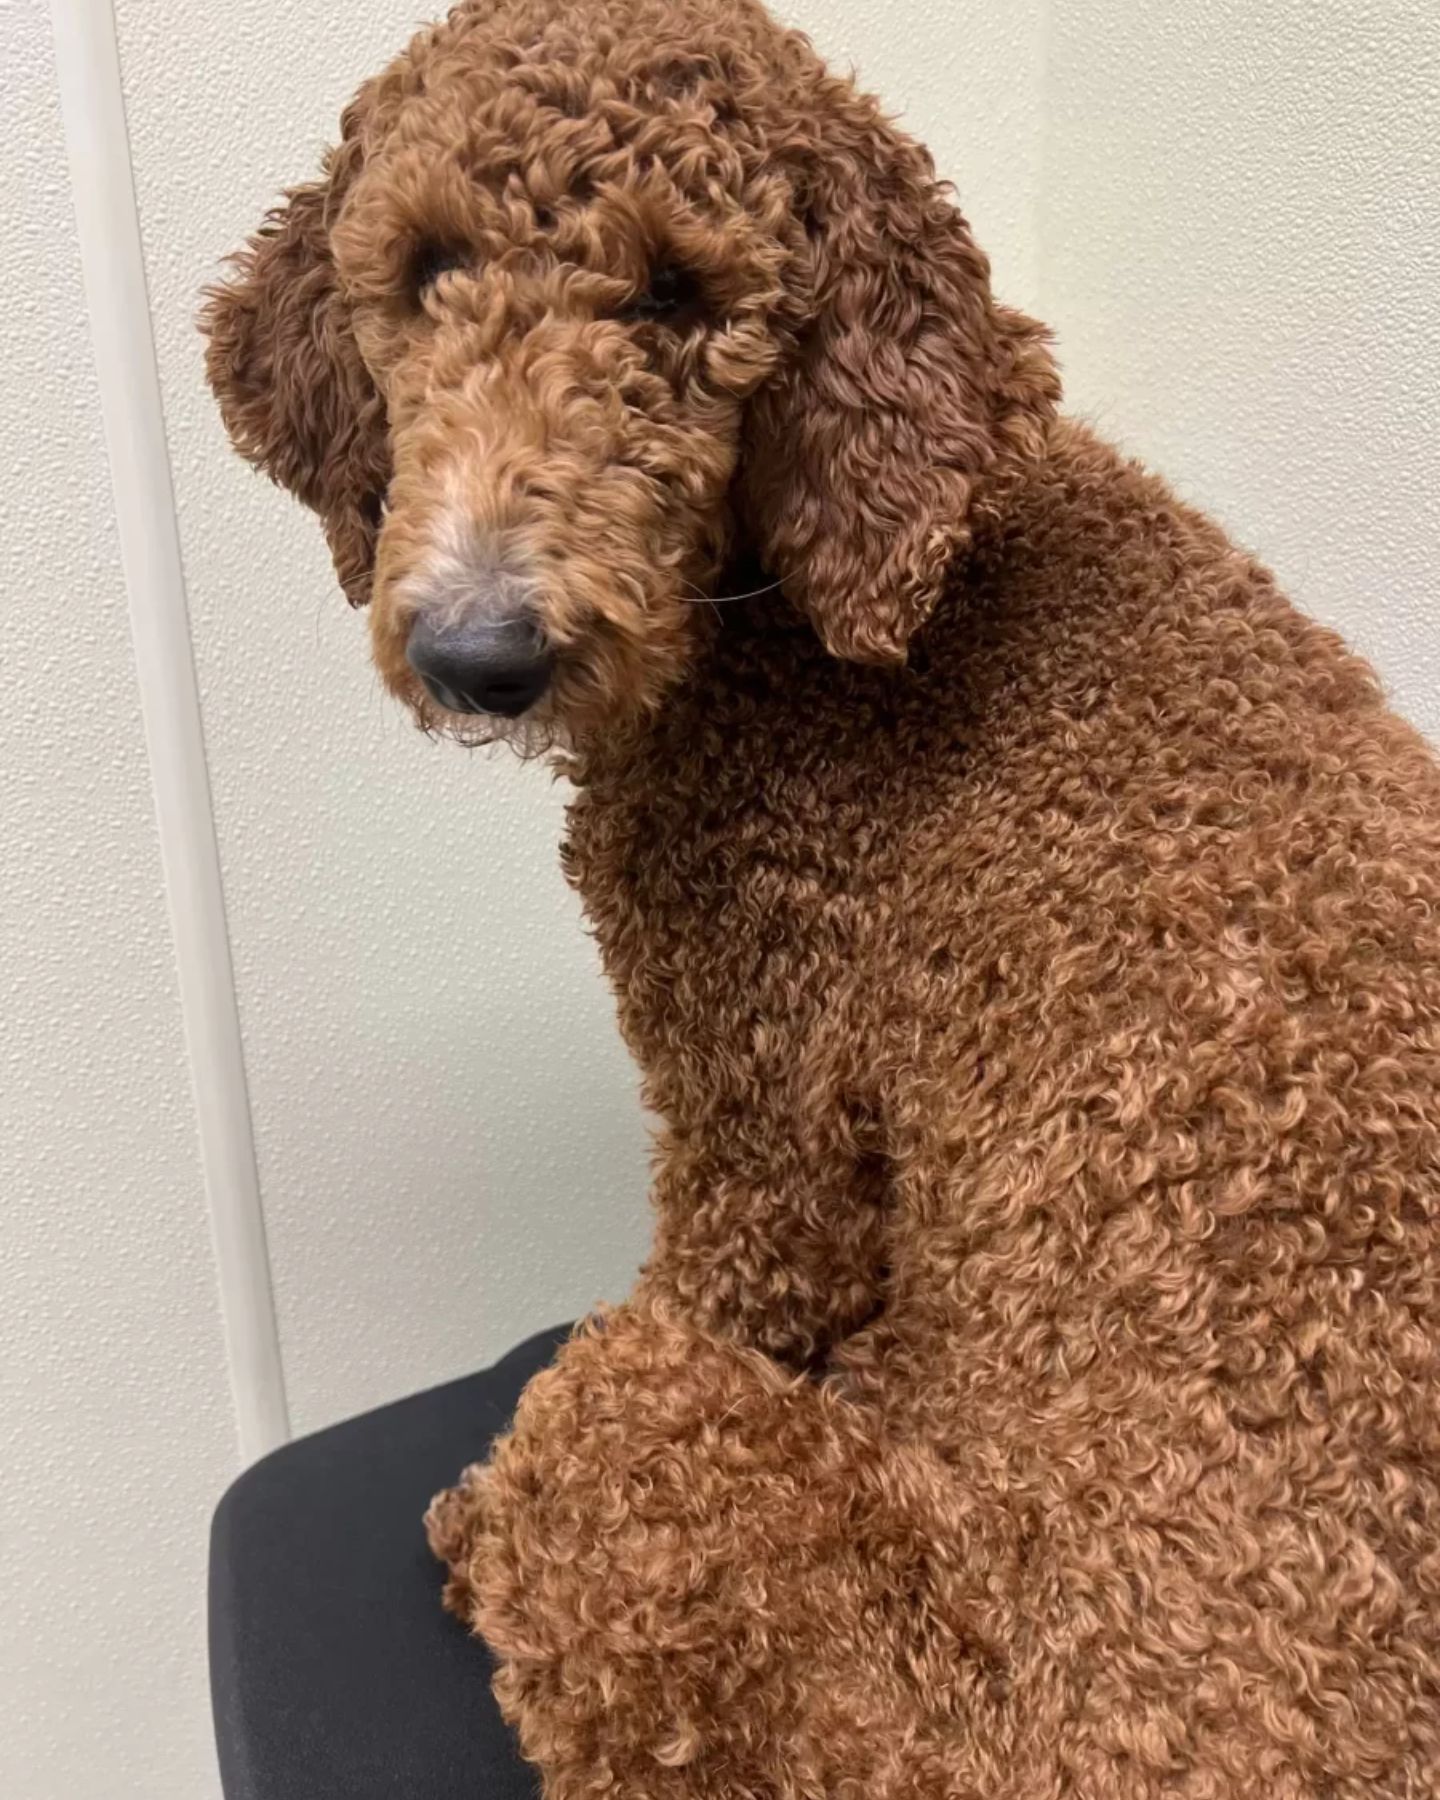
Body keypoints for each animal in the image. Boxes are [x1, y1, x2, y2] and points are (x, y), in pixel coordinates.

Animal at [207, 0, 1440, 1792]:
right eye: (426, 265)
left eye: (677, 294)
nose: (480, 653)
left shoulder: (762, 1122)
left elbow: (731, 1269)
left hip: (649, 1443)